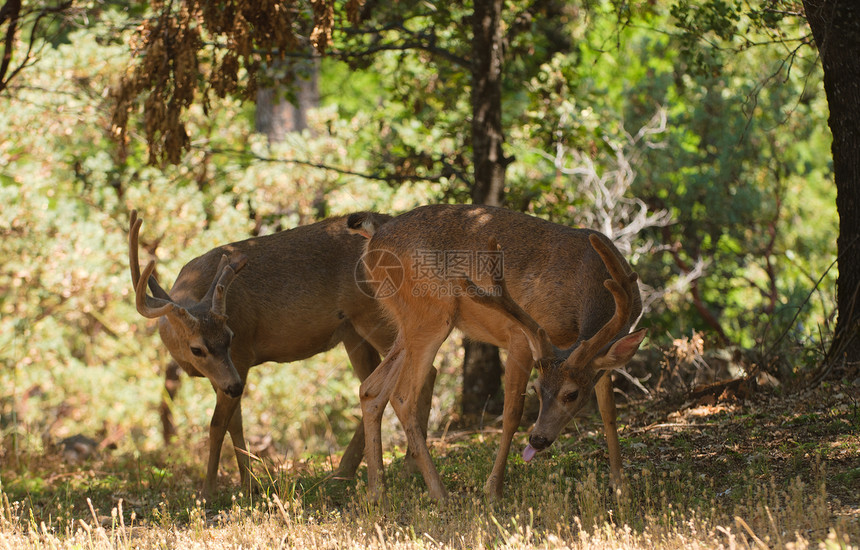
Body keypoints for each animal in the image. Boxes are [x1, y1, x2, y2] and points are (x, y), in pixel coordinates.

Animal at [127, 211, 414, 500]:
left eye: (230, 336)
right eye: (197, 349)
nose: (235, 387)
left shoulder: (240, 356)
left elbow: (218, 424)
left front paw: (208, 491)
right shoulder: (222, 374)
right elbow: (236, 423)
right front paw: (248, 485)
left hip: (377, 316)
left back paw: (402, 470)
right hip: (353, 332)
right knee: (373, 385)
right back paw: (344, 472)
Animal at [350, 205, 644, 502]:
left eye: (571, 394)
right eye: (537, 390)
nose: (538, 440)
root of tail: (374, 237)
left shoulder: (593, 353)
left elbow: (608, 412)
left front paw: (620, 486)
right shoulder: (521, 335)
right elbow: (512, 413)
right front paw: (493, 489)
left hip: (407, 322)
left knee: (371, 389)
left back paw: (377, 492)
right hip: (431, 313)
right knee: (401, 396)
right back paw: (440, 493)